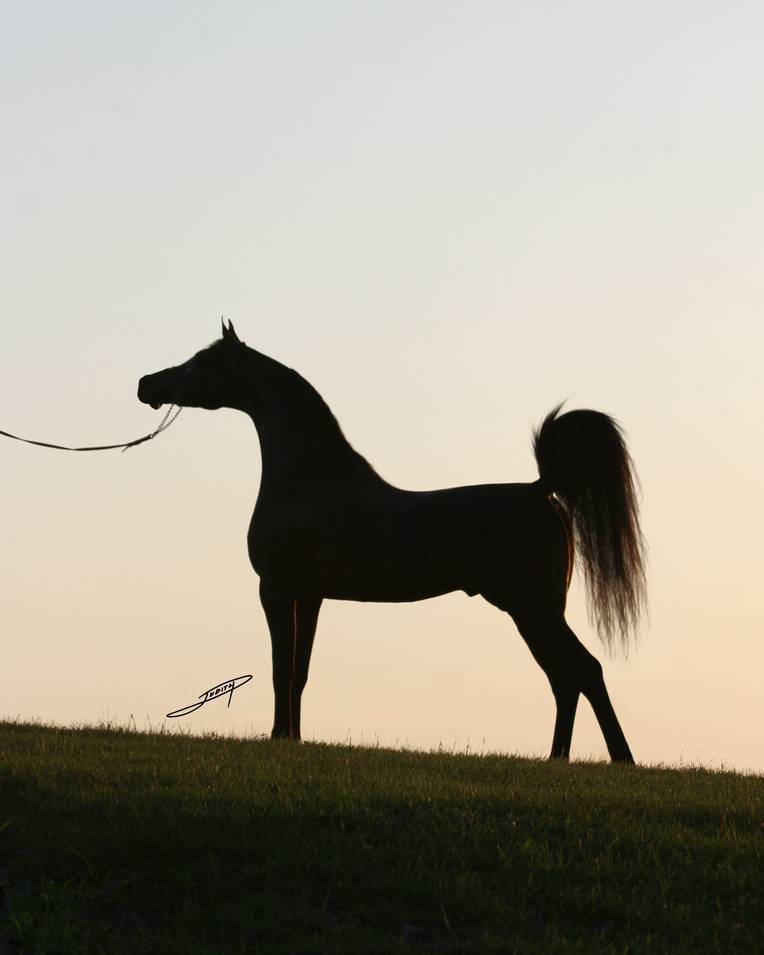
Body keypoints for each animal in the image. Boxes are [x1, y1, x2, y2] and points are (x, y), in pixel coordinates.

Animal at [138, 320, 646, 763]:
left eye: (202, 361)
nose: (147, 384)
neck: (308, 478)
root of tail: (542, 489)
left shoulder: (275, 588)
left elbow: (281, 668)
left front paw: (278, 737)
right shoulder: (310, 594)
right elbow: (299, 672)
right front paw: (294, 739)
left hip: (533, 609)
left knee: (582, 671)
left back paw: (619, 759)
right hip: (533, 613)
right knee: (566, 678)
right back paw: (559, 758)